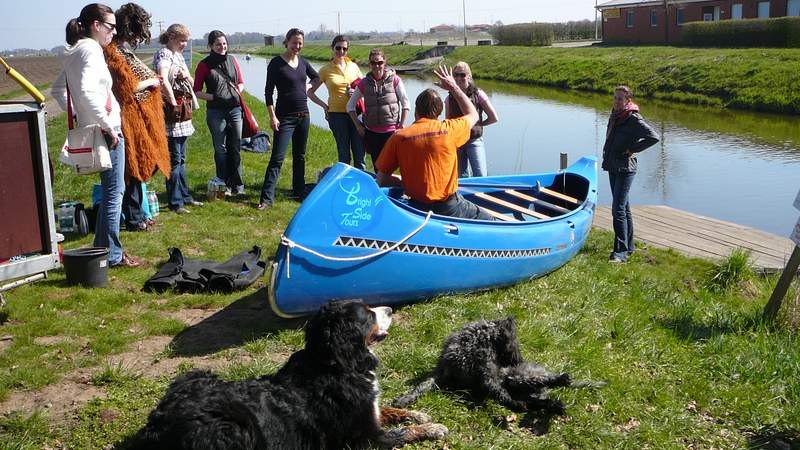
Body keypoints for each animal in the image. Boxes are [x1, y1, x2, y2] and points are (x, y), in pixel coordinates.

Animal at [128, 300, 446, 450]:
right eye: (368, 314)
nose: (390, 308)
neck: (336, 363)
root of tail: (157, 424)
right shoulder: (364, 437)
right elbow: (402, 433)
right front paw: (434, 428)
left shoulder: (370, 410)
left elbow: (390, 409)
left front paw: (418, 414)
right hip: (233, 424)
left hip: (196, 374)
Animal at [394, 316, 608, 414]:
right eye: (516, 344)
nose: (519, 360)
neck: (473, 343)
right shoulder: (442, 373)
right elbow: (421, 386)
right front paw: (405, 399)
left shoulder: (488, 377)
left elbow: (499, 394)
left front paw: (512, 405)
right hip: (523, 385)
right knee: (539, 400)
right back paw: (554, 404)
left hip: (520, 378)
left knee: (544, 383)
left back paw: (562, 380)